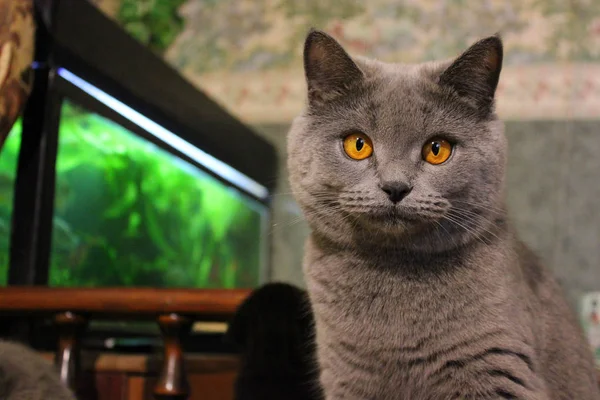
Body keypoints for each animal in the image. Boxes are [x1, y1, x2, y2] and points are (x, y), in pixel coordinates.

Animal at [288, 28, 600, 400]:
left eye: (437, 149)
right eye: (358, 144)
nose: (395, 186)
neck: (396, 272)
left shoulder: (495, 367)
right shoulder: (347, 378)